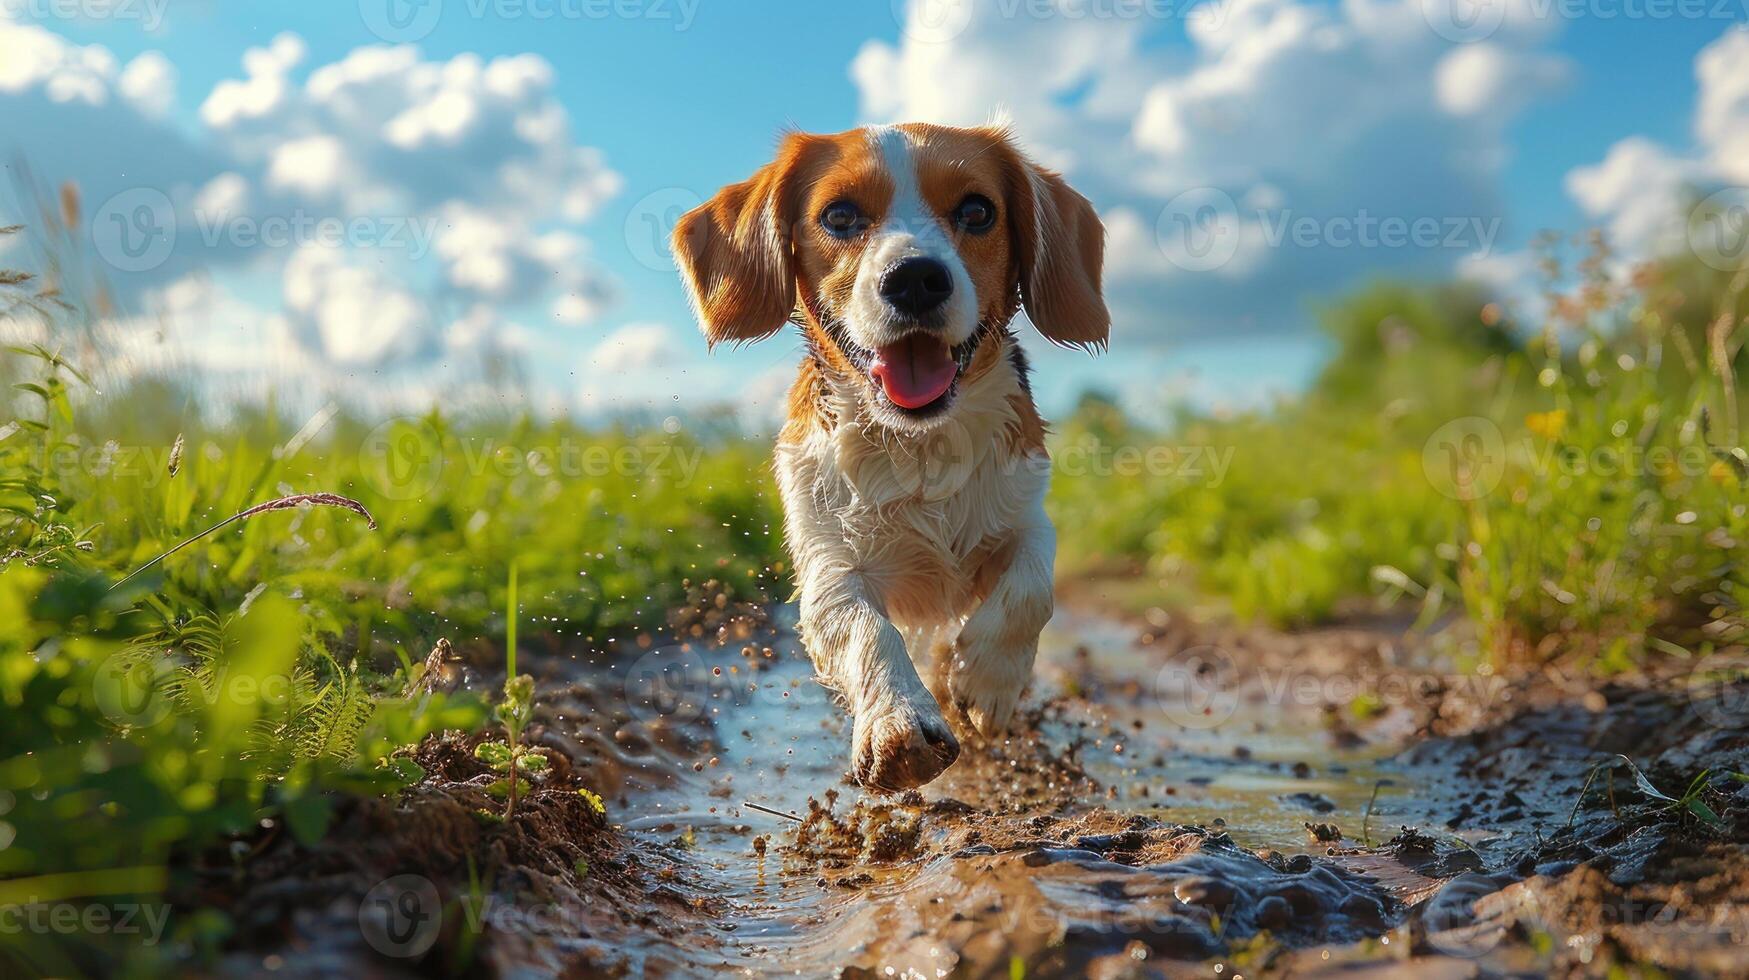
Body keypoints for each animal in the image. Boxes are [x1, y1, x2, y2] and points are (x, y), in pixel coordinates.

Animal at [668, 124, 1105, 798]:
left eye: (977, 211)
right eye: (839, 215)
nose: (916, 278)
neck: (918, 445)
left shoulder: (1024, 510)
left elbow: (1032, 587)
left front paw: (985, 679)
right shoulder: (827, 563)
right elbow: (862, 626)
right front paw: (897, 721)